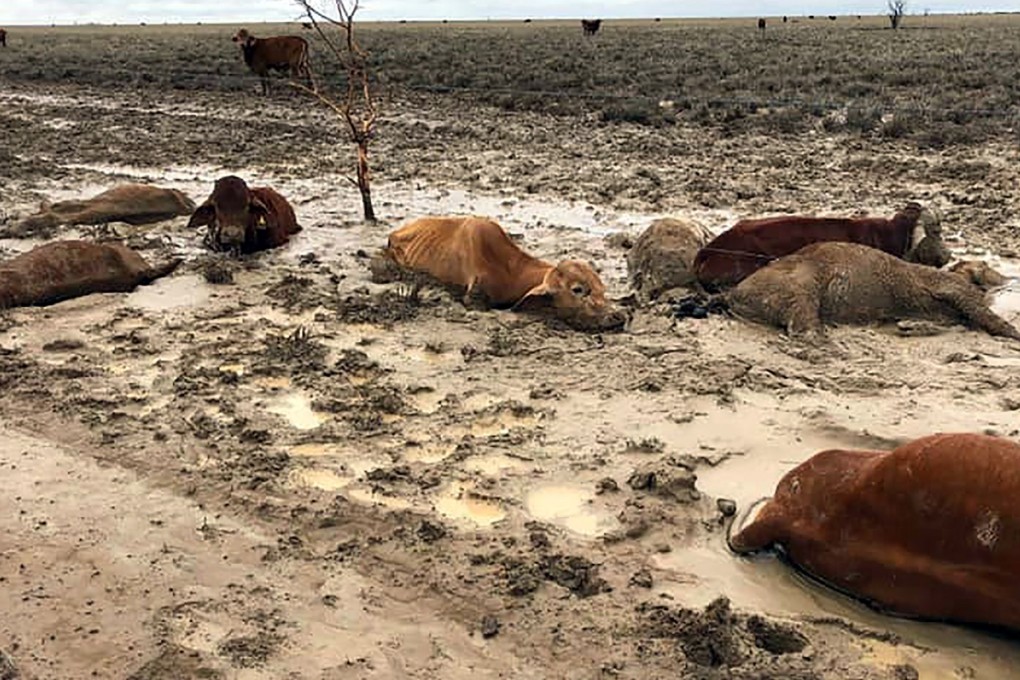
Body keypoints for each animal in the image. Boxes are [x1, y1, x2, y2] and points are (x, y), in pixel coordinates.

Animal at [726, 242, 1020, 340]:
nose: (1010, 279)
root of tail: (732, 294)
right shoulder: (953, 287)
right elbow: (982, 312)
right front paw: (1014, 334)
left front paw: (909, 326)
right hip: (797, 285)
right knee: (804, 321)